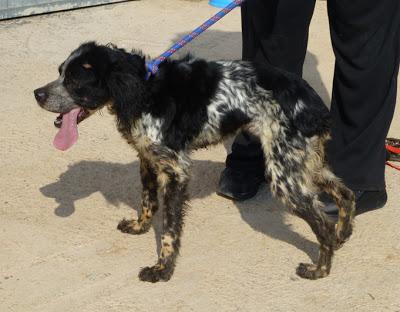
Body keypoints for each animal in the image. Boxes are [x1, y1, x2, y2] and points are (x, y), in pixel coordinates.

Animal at [33, 42, 354, 282]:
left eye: (75, 80)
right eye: (60, 72)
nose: (37, 93)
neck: (142, 90)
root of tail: (311, 100)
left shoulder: (176, 171)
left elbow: (170, 229)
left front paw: (162, 269)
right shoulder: (148, 159)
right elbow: (147, 202)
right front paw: (139, 227)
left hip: (284, 175)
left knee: (322, 222)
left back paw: (320, 269)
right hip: (302, 163)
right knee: (346, 194)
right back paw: (342, 234)